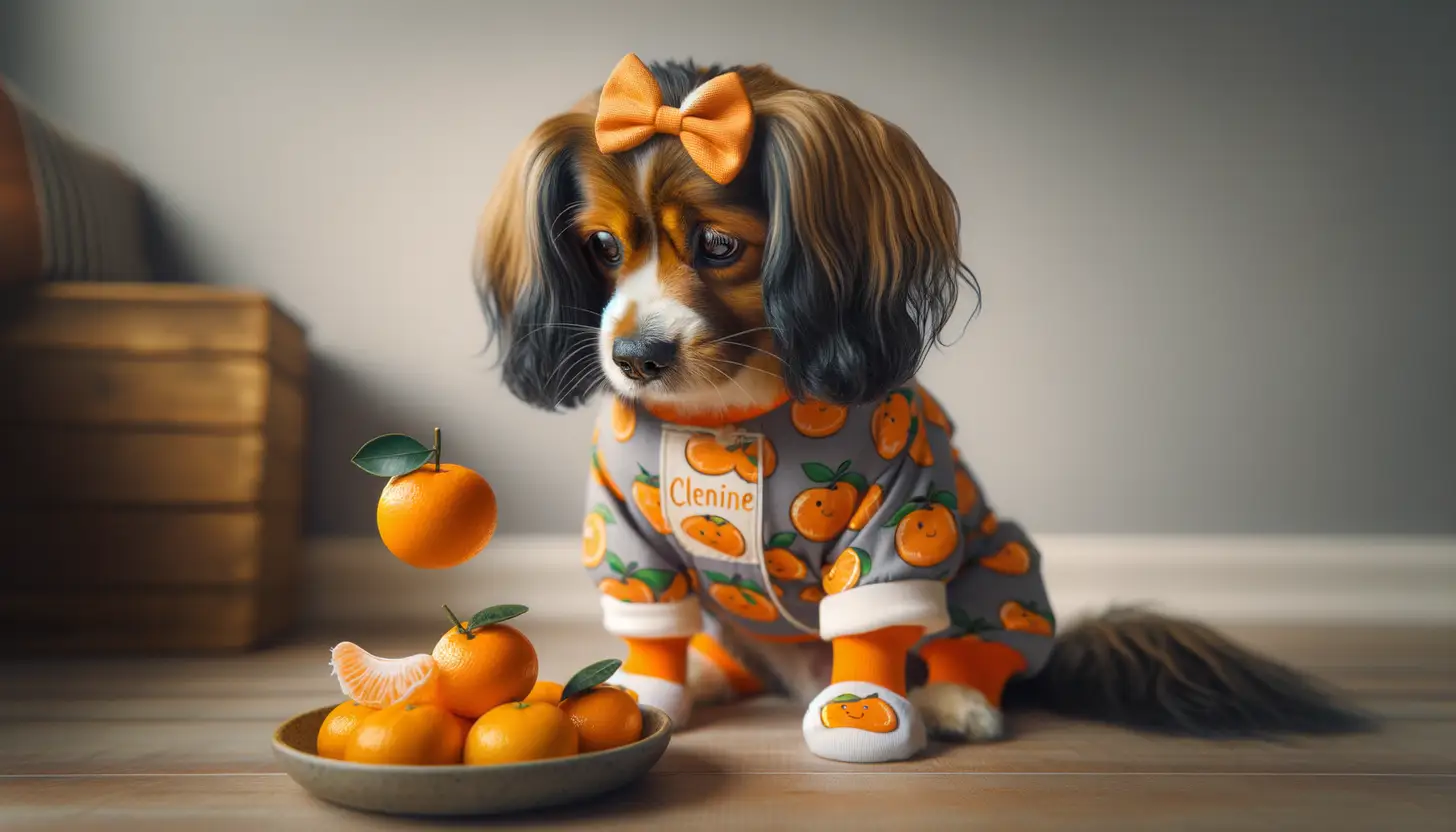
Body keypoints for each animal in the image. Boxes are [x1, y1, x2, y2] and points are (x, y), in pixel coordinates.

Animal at [474, 53, 1362, 763]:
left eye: (719, 246)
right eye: (601, 246)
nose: (636, 359)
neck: (728, 415)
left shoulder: (897, 515)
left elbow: (871, 623)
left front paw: (859, 718)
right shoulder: (625, 530)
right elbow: (647, 623)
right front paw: (642, 692)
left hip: (999, 567)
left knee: (975, 648)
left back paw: (955, 700)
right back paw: (712, 675)